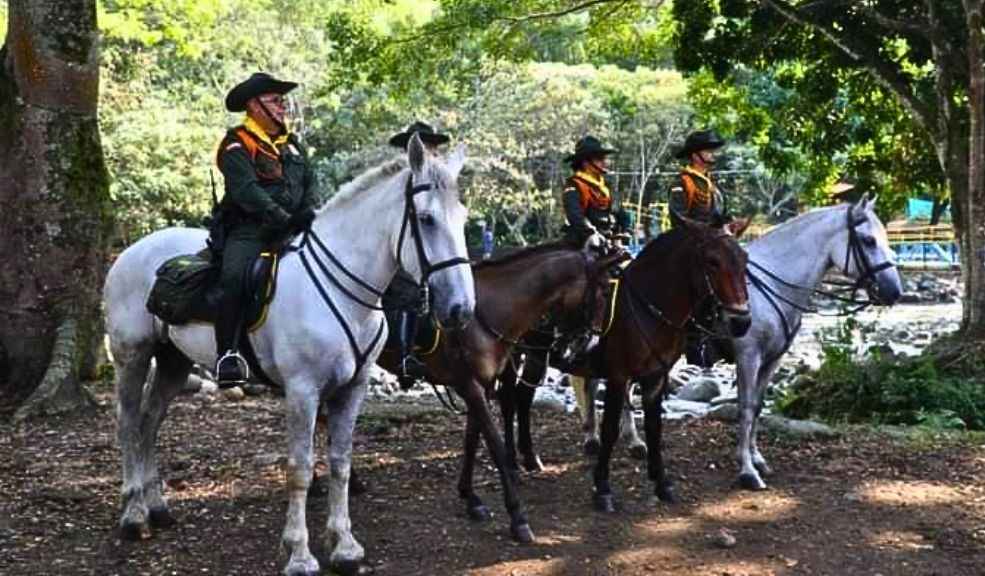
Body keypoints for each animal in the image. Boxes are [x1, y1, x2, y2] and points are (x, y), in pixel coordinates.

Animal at [105, 135, 474, 576]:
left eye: (463, 218)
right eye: (426, 219)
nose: (461, 309)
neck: (342, 291)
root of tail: (131, 251)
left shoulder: (353, 389)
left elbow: (340, 463)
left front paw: (345, 546)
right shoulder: (302, 390)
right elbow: (300, 469)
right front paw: (299, 553)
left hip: (174, 363)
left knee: (149, 423)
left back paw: (157, 507)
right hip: (132, 356)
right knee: (128, 424)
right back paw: (134, 514)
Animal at [372, 241, 620, 544]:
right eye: (605, 289)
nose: (591, 343)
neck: (485, 312)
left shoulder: (482, 384)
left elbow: (472, 439)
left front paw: (471, 498)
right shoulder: (470, 385)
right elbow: (494, 444)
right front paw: (517, 516)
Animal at [500, 218, 752, 510]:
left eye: (744, 260)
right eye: (712, 261)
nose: (741, 321)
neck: (647, 306)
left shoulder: (655, 377)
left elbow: (654, 428)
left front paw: (661, 482)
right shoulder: (618, 376)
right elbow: (609, 428)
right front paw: (602, 488)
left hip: (536, 356)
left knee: (523, 397)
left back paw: (530, 458)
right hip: (511, 353)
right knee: (508, 401)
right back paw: (511, 466)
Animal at [732, 196, 900, 488]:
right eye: (868, 241)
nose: (895, 291)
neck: (767, 287)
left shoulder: (772, 359)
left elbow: (758, 406)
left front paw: (757, 460)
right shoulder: (747, 356)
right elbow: (746, 408)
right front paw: (747, 471)